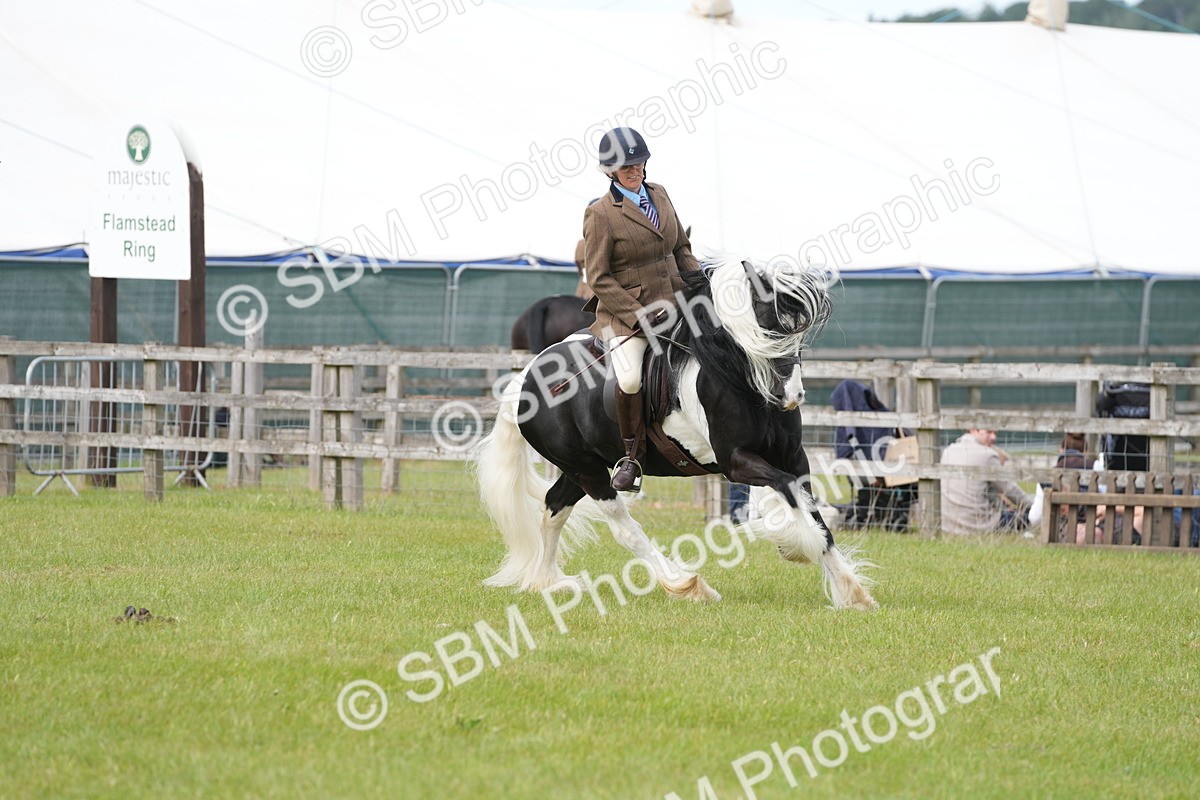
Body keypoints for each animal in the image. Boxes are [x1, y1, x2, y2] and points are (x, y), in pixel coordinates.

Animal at [473, 257, 877, 610]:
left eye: (799, 334)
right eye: (766, 329)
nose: (790, 397)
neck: (735, 375)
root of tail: (526, 379)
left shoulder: (791, 457)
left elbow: (810, 511)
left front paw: (851, 592)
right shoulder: (736, 461)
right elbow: (790, 496)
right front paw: (797, 546)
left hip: (581, 467)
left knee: (553, 509)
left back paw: (546, 583)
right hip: (586, 471)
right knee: (622, 528)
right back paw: (686, 583)